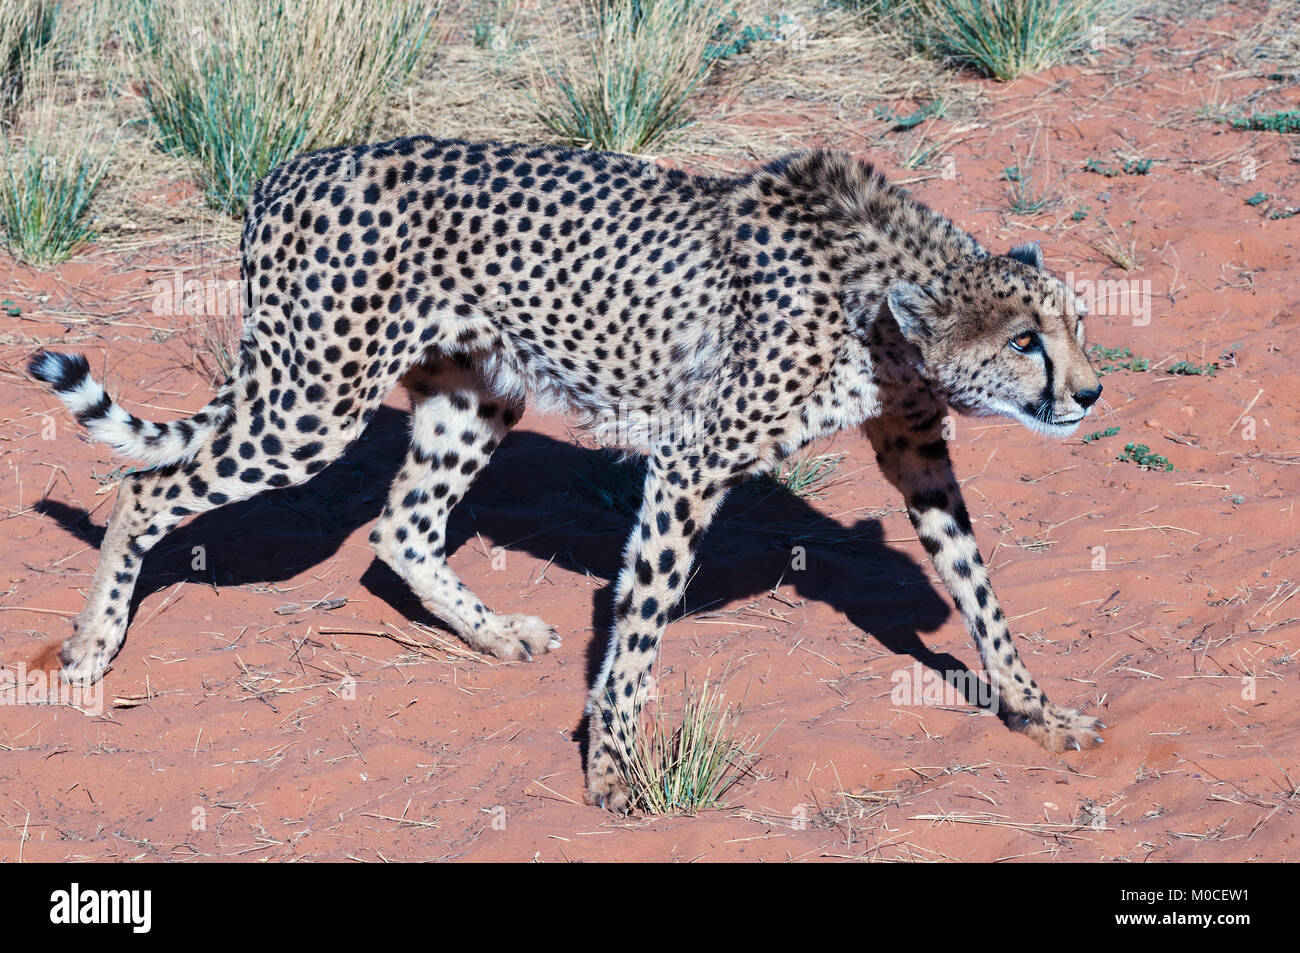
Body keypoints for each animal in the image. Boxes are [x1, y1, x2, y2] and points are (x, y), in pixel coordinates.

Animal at [30, 139, 1107, 811]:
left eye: (1076, 325)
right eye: (1023, 341)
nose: (1090, 393)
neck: (881, 294)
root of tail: (289, 166)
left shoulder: (915, 453)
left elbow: (978, 589)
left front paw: (1034, 710)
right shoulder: (692, 459)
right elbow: (640, 624)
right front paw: (615, 772)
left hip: (472, 392)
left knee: (402, 526)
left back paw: (498, 632)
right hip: (312, 406)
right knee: (146, 490)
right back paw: (90, 649)